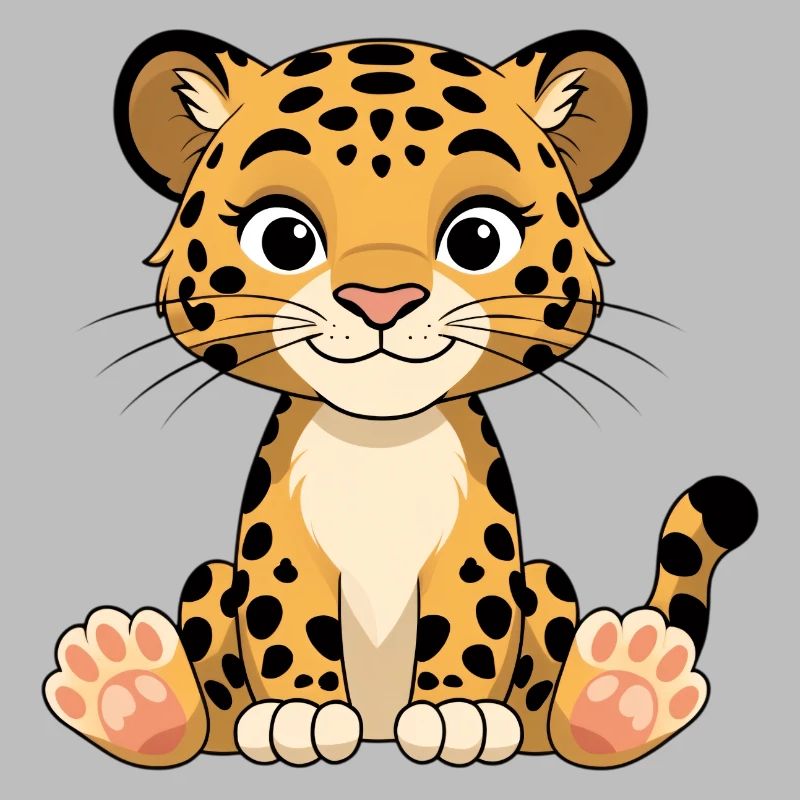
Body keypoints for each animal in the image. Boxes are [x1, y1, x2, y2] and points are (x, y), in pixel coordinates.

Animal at [43, 29, 759, 769]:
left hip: (546, 583)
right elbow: (285, 616)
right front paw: (303, 711)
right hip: (213, 583)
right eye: (284, 237)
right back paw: (131, 691)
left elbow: (473, 615)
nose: (380, 300)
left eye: (478, 236)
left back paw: (622, 693)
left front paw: (455, 713)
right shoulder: (280, 537)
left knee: (540, 716)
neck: (378, 438)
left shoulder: (480, 537)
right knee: (216, 717)